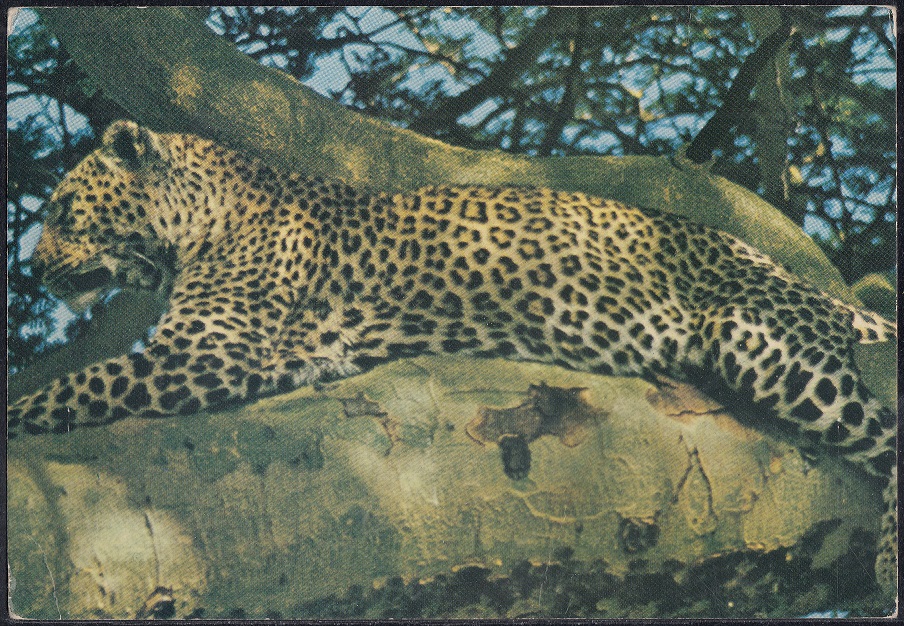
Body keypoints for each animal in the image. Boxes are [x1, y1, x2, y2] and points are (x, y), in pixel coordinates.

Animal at [7, 120, 898, 595]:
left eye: (62, 208)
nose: (32, 269)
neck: (194, 225)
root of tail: (791, 273)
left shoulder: (209, 351)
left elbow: (65, 389)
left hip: (770, 345)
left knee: (884, 435)